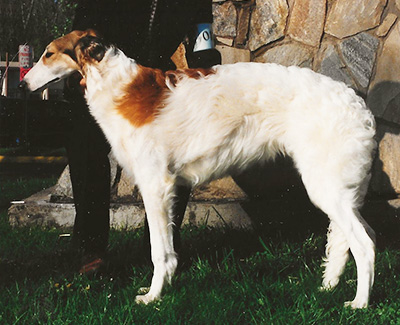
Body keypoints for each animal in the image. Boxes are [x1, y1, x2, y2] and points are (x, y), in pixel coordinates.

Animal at [22, 29, 378, 306]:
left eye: (48, 53)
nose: (24, 84)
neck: (119, 87)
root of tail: (357, 103)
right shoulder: (169, 187)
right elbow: (167, 249)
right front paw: (162, 288)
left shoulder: (156, 185)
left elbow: (159, 252)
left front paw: (153, 297)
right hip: (332, 189)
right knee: (347, 241)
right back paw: (327, 287)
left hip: (325, 187)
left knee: (365, 244)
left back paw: (359, 303)